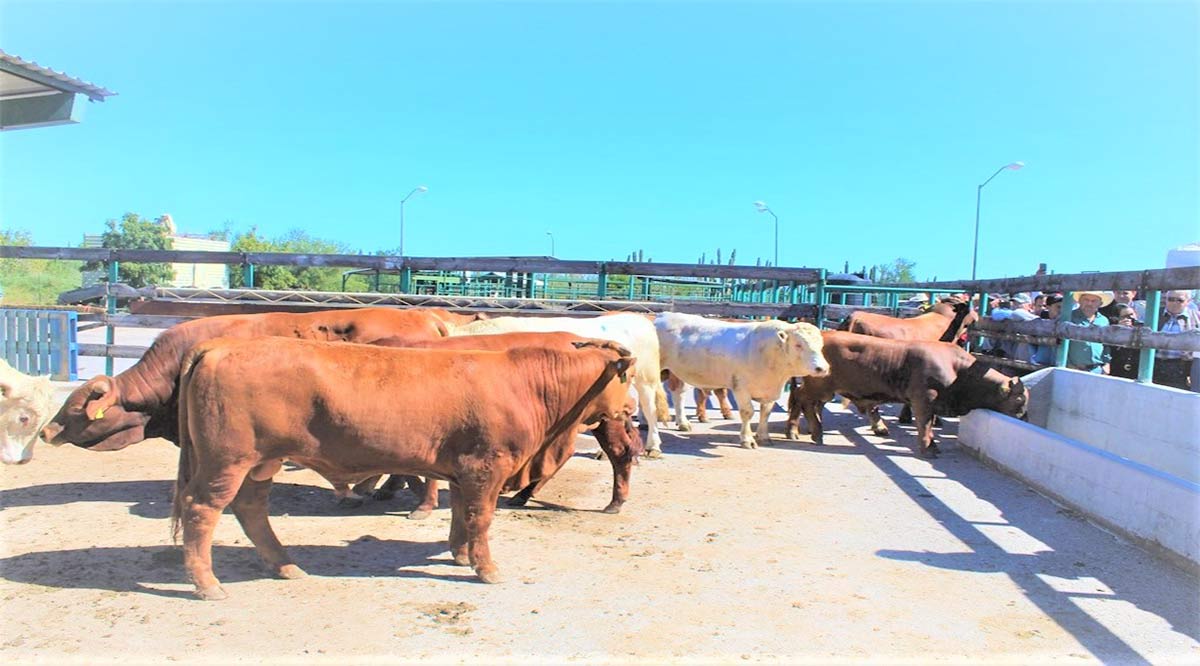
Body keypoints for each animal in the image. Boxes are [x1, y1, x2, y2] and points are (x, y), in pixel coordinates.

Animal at [657, 312, 825, 448]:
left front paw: (764, 437)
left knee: (678, 393)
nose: (822, 368)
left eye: (821, 345)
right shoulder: (741, 387)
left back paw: (683, 423)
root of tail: (662, 316)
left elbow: (766, 413)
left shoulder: (769, 391)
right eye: (798, 345)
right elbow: (747, 412)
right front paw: (747, 440)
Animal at [787, 331, 1032, 458]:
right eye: (1019, 400)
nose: (1026, 418)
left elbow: (930, 423)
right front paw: (927, 448)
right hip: (819, 387)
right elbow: (924, 423)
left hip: (822, 390)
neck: (959, 369)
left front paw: (932, 445)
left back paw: (806, 430)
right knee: (802, 399)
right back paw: (810, 432)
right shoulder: (924, 399)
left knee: (807, 402)